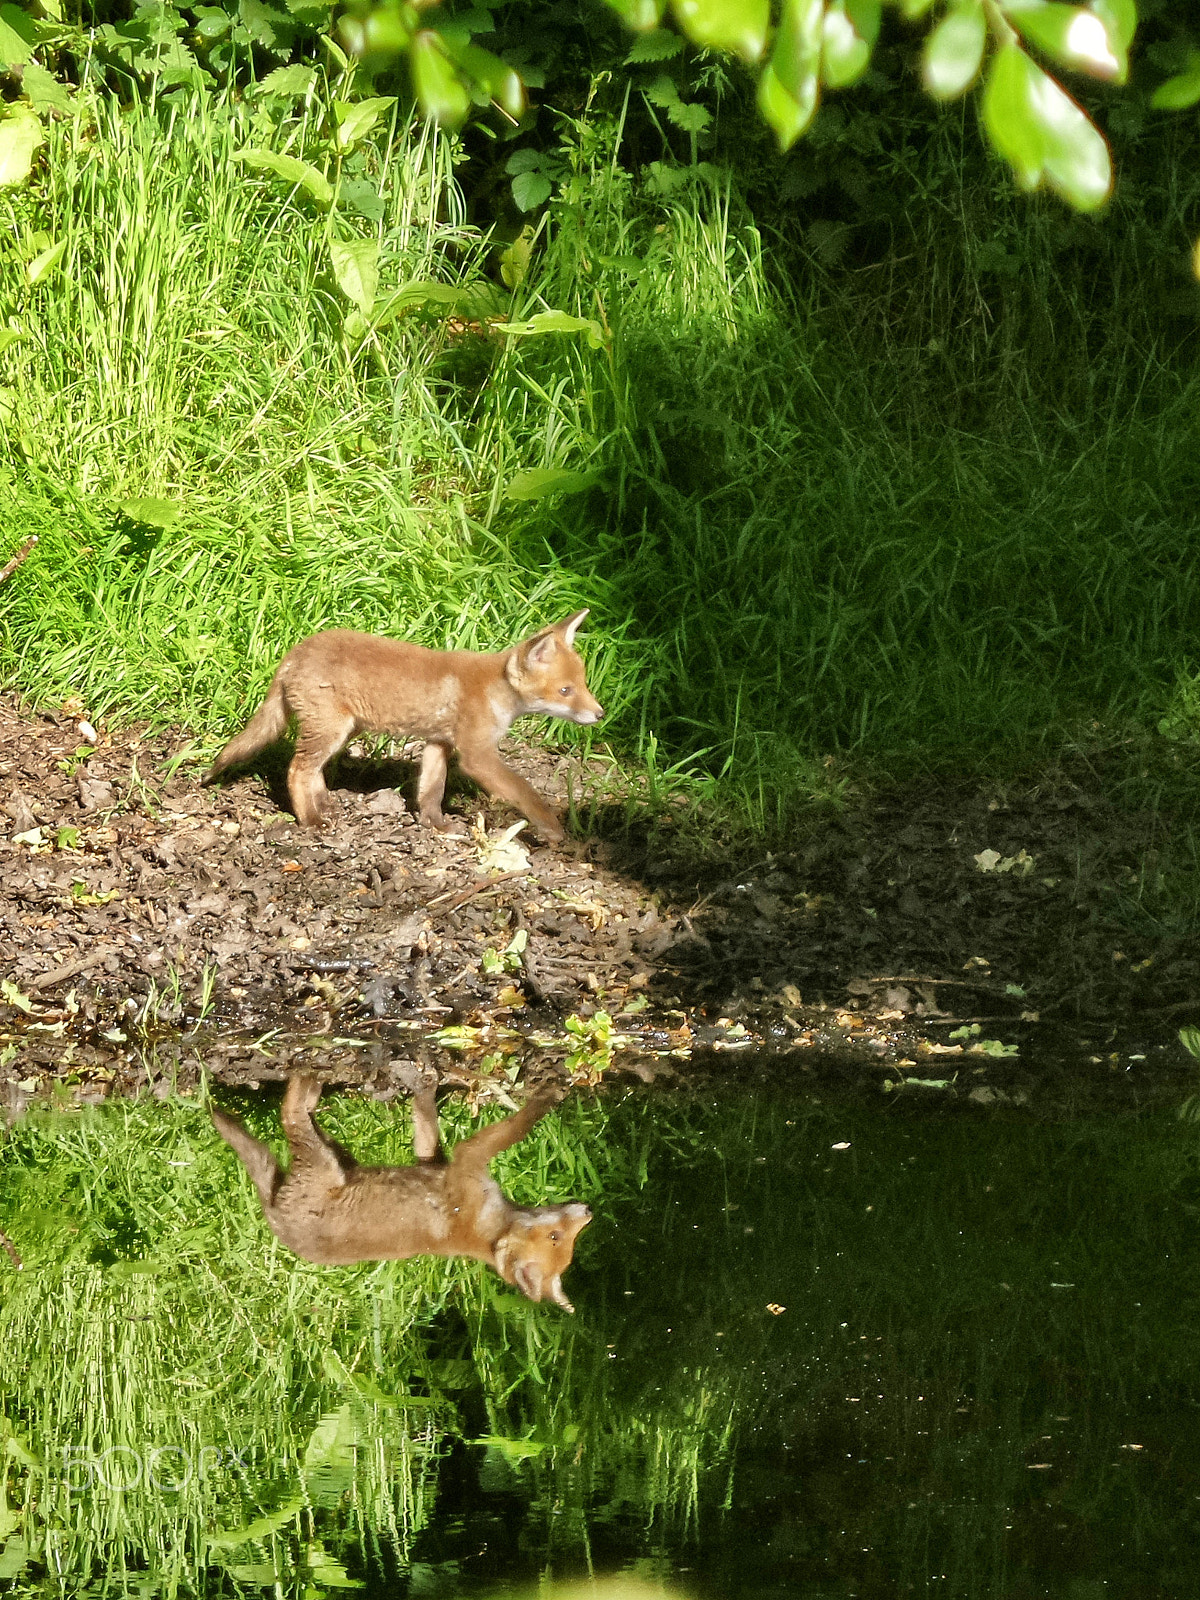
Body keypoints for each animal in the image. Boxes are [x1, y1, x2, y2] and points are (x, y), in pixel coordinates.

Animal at [203, 611, 602, 842]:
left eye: (583, 683)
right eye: (565, 691)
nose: (600, 714)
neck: (493, 690)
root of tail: (292, 654)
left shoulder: (439, 744)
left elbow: (431, 790)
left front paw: (436, 825)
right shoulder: (477, 756)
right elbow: (525, 791)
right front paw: (552, 829)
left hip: (343, 730)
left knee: (311, 771)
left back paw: (325, 805)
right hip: (331, 729)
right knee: (297, 770)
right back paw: (312, 820)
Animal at [211, 1075, 591, 1311]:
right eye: (557, 1236)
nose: (588, 1211)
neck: (486, 1231)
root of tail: (274, 1214)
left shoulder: (462, 1161)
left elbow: (509, 1126)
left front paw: (546, 1096)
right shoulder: (448, 1160)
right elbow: (431, 1119)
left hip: (325, 1161)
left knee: (290, 1115)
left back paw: (305, 1080)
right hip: (334, 1157)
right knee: (295, 1114)